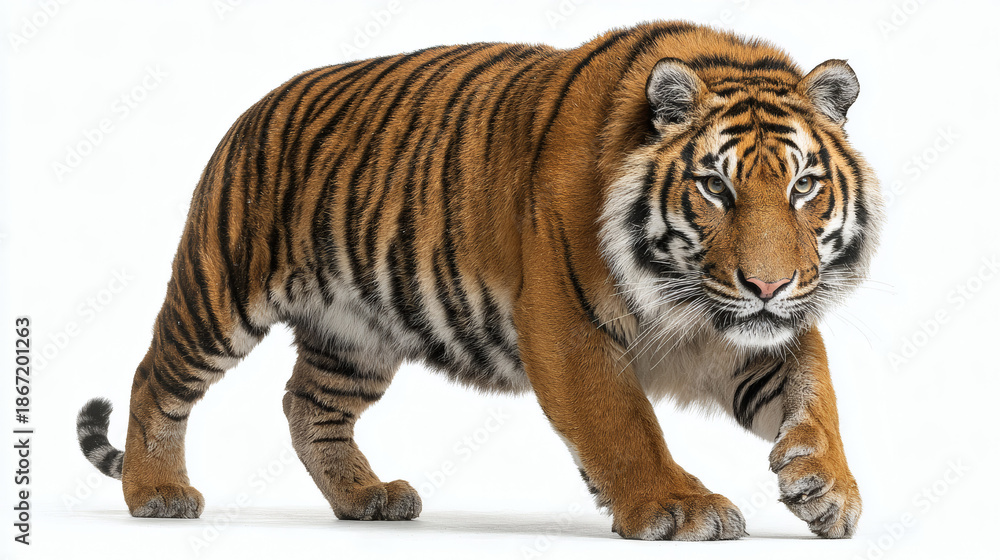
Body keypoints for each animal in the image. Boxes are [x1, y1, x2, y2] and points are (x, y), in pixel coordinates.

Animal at [76, 20, 882, 541]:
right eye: (716, 188)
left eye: (804, 186)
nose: (767, 286)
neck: (683, 297)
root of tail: (252, 109)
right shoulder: (566, 326)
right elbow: (623, 423)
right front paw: (678, 507)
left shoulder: (755, 328)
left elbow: (816, 390)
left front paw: (828, 487)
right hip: (220, 291)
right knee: (156, 378)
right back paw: (157, 492)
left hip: (355, 335)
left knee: (309, 406)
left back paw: (367, 498)